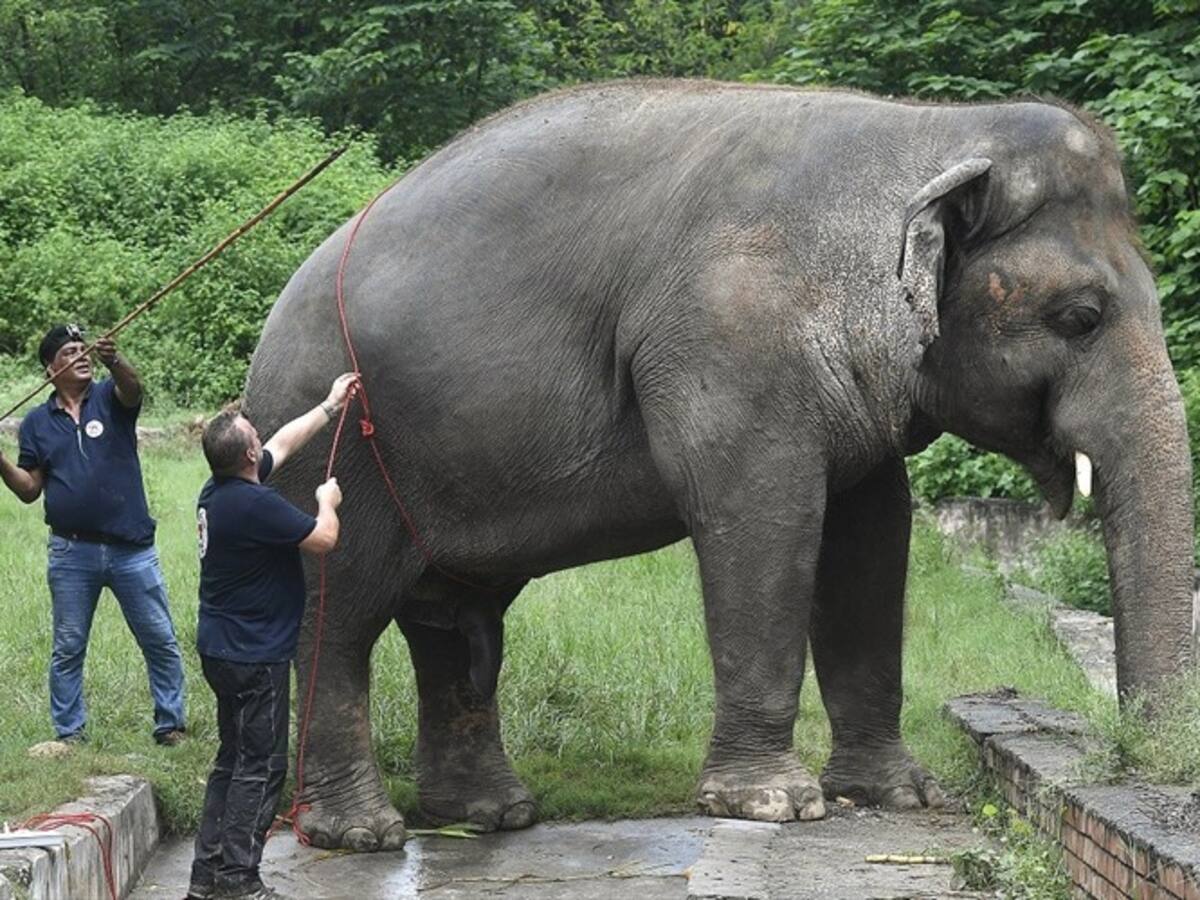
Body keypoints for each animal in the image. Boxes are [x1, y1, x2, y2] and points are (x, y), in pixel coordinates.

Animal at [244, 79, 1195, 850]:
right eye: (1080, 317)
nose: (1139, 763)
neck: (927, 134)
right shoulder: (729, 344)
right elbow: (767, 519)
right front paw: (775, 805)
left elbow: (872, 540)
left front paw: (900, 796)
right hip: (330, 447)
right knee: (341, 617)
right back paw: (360, 834)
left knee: (454, 622)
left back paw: (490, 817)